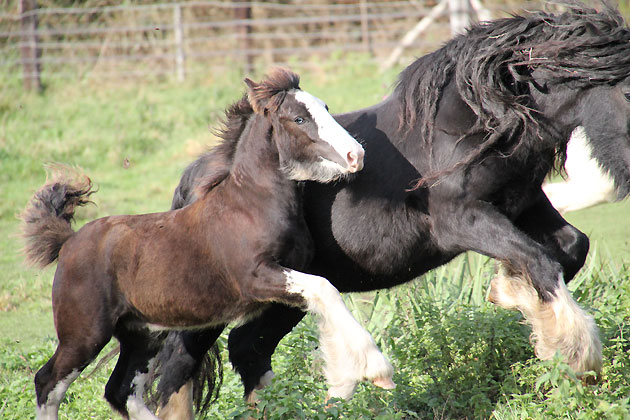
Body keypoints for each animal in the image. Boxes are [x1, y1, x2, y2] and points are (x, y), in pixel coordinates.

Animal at [154, 2, 630, 416]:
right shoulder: (462, 219)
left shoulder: (523, 203)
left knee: (248, 347)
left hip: (284, 291)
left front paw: (515, 300)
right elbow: (540, 259)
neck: (471, 123)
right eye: (626, 91)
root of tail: (195, 179)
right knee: (178, 364)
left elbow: (570, 247)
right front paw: (578, 357)